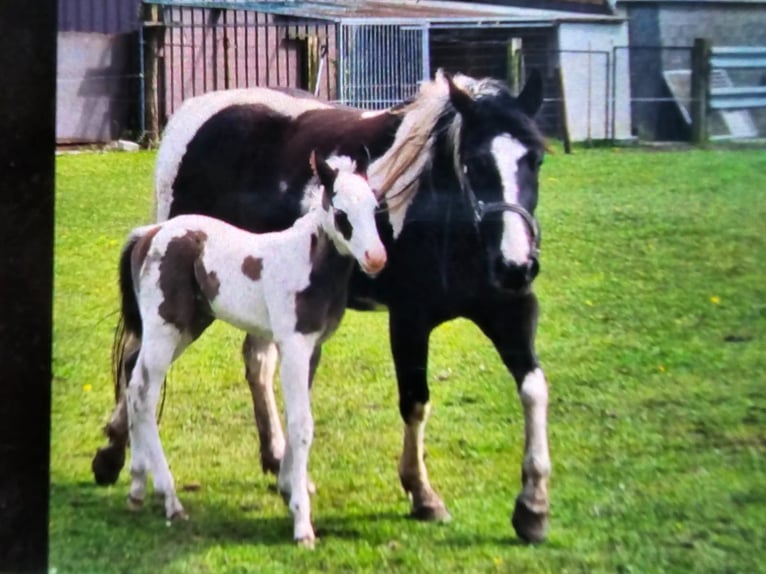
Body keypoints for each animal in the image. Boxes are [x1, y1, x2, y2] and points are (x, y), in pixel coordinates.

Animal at [114, 151, 385, 546]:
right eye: (341, 213)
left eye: (375, 207)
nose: (376, 258)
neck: (307, 264)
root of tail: (148, 235)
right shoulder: (293, 346)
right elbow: (301, 425)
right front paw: (302, 524)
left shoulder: (313, 349)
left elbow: (295, 419)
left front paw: (289, 487)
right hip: (165, 330)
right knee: (145, 394)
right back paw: (170, 499)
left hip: (184, 330)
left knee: (134, 384)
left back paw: (136, 487)